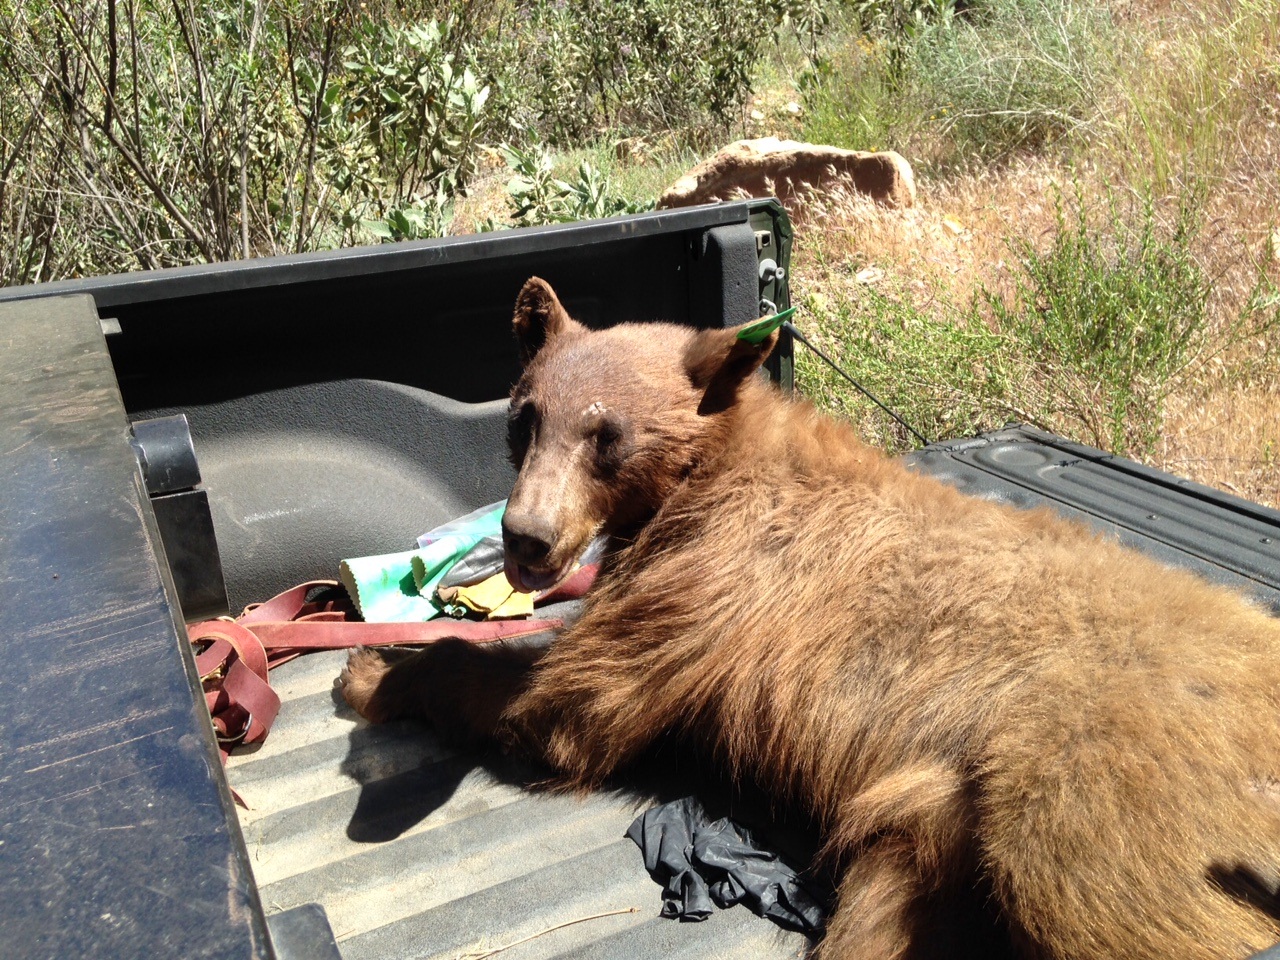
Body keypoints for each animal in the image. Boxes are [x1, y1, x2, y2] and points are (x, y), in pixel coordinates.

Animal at [341, 276, 1280, 960]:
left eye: (606, 436)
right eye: (522, 418)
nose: (526, 536)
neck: (706, 470)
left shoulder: (706, 581)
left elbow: (570, 705)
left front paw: (376, 668)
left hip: (1093, 785)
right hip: (946, 838)